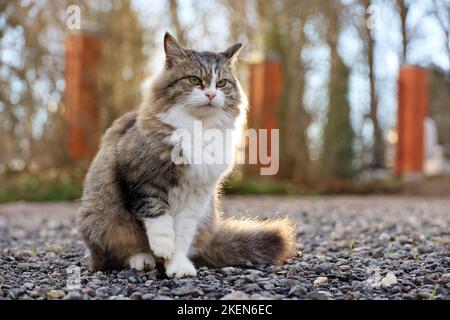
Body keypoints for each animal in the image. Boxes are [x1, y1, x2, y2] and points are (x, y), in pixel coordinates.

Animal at [77, 32, 296, 278]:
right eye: (194, 80)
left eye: (221, 83)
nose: (210, 93)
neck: (198, 129)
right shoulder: (141, 179)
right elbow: (158, 218)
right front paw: (164, 248)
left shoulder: (196, 198)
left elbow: (181, 236)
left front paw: (177, 266)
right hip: (102, 221)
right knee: (117, 254)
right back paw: (144, 260)